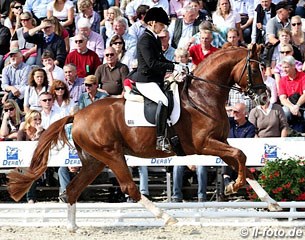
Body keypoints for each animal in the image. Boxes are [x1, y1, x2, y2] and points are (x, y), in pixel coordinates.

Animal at [7, 44, 268, 229]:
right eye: (255, 69)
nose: (265, 97)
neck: (203, 96)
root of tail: (78, 115)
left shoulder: (220, 142)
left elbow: (242, 162)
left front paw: (268, 201)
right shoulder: (205, 144)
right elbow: (240, 155)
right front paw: (234, 186)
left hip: (95, 160)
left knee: (72, 190)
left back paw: (73, 228)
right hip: (111, 155)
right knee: (129, 188)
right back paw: (167, 218)